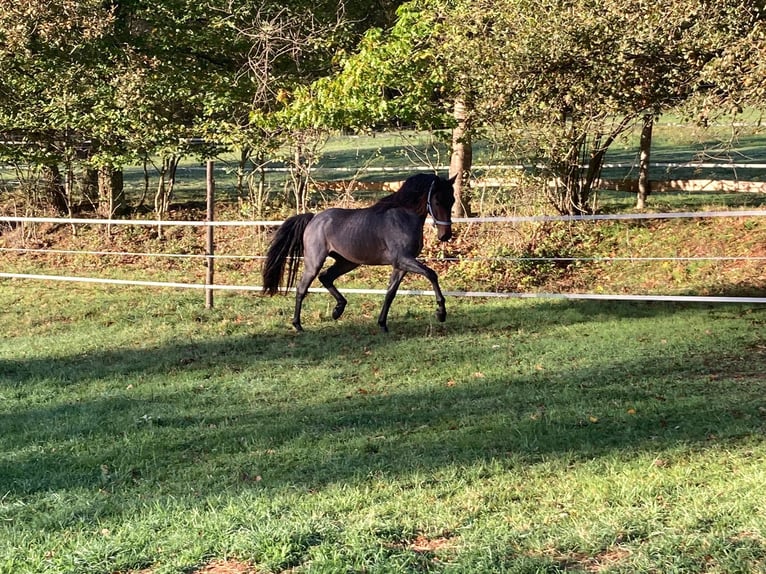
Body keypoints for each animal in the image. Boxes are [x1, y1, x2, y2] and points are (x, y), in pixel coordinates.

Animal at [262, 173, 456, 332]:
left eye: (452, 200)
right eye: (437, 201)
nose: (445, 235)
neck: (403, 216)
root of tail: (314, 218)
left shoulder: (401, 265)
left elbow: (390, 293)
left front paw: (382, 324)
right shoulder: (403, 260)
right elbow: (431, 274)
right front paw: (441, 312)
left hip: (347, 262)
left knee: (326, 277)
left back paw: (337, 310)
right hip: (314, 261)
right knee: (302, 288)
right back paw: (298, 325)